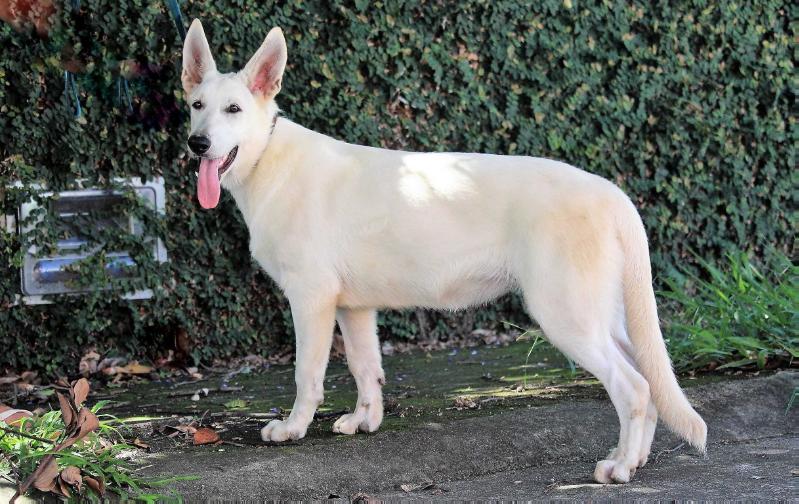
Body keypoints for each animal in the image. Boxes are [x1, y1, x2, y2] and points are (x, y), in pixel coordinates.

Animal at [181, 19, 708, 484]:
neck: (267, 158)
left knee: (634, 387)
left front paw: (292, 429)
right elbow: (365, 368)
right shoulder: (353, 309)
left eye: (234, 109)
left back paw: (618, 469)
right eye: (196, 105)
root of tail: (612, 194)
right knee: (650, 383)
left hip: (568, 317)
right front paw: (365, 421)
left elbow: (306, 374)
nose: (196, 143)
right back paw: (634, 461)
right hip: (606, 319)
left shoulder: (311, 300)